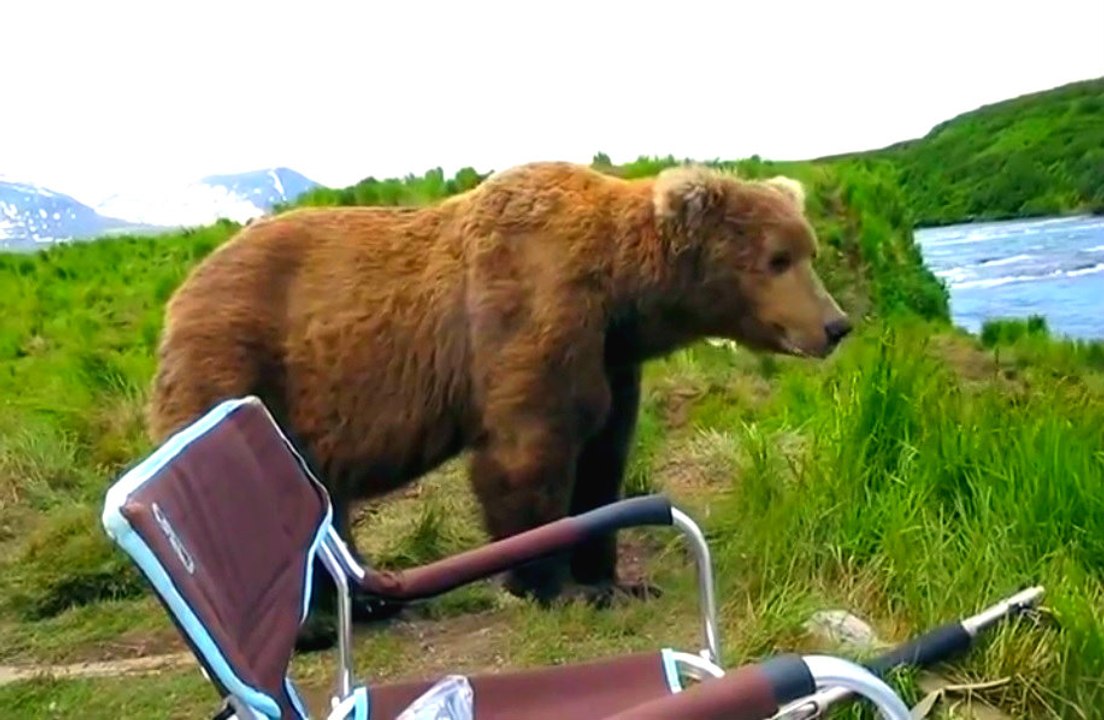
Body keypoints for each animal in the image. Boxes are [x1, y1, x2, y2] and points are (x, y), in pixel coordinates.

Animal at [145, 160, 853, 651]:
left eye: (807, 250)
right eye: (777, 258)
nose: (835, 324)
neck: (621, 294)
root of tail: (178, 295)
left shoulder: (612, 359)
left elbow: (602, 460)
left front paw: (615, 580)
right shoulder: (530, 314)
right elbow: (527, 454)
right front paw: (552, 586)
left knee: (324, 501)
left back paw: (369, 601)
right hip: (241, 369)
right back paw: (312, 627)